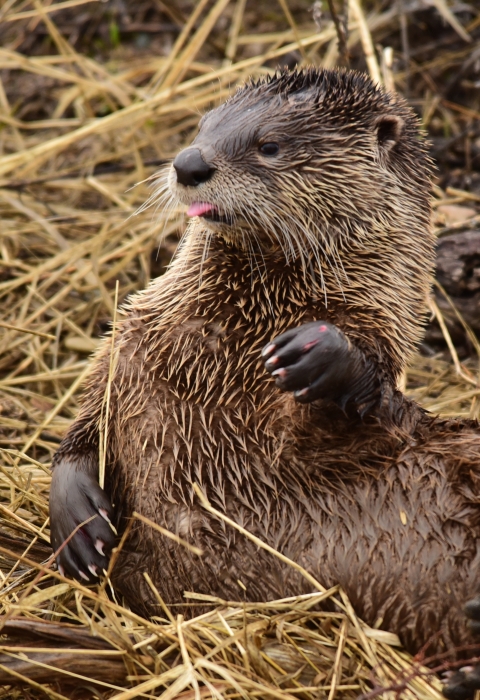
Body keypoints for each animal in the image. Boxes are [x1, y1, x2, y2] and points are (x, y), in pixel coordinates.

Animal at [49, 68, 480, 699]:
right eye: (203, 127)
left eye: (269, 145)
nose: (189, 163)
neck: (212, 359)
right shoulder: (128, 347)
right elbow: (82, 429)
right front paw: (78, 520)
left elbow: (378, 402)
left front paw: (324, 351)